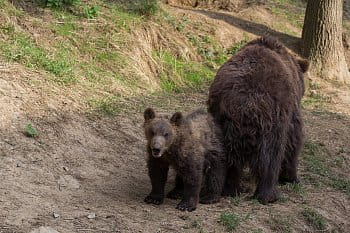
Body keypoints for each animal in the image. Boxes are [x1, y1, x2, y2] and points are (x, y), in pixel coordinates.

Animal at [208, 36, 308, 204]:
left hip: (220, 119)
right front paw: (291, 177)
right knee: (272, 157)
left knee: (226, 158)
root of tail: (244, 103)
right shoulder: (290, 113)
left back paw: (230, 188)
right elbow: (293, 141)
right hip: (271, 122)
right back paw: (268, 194)